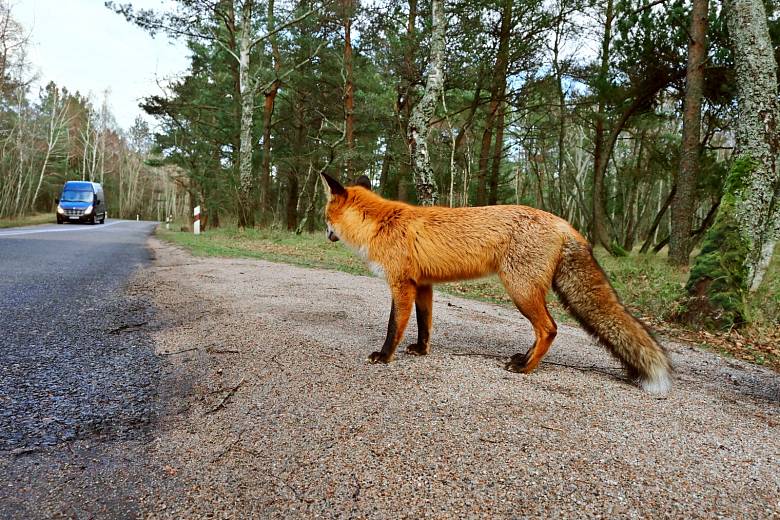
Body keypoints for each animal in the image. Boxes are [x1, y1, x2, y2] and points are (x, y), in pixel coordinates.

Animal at [320, 173, 672, 392]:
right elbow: (425, 325)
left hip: (520, 290)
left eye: (325, 217)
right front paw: (421, 350)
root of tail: (564, 223)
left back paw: (526, 369)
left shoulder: (401, 284)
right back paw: (523, 359)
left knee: (550, 329)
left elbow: (394, 326)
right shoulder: (424, 285)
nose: (325, 234)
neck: (381, 224)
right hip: (525, 292)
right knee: (544, 330)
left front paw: (384, 357)